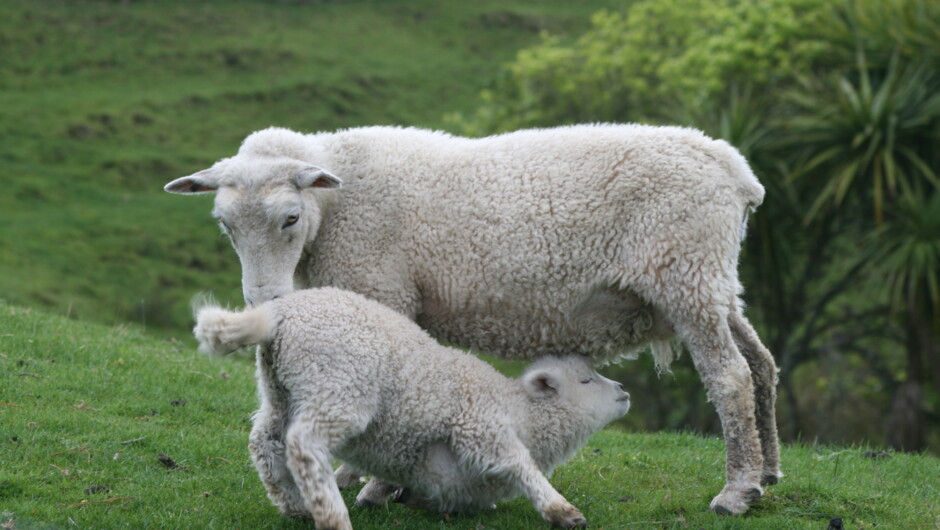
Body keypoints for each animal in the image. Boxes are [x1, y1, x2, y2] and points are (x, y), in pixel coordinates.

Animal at [194, 287, 631, 529]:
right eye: (586, 381)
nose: (625, 391)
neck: (522, 413)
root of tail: (281, 313)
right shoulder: (480, 426)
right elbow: (519, 464)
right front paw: (562, 511)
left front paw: (382, 495)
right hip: (339, 385)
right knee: (303, 444)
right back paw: (332, 516)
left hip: (280, 388)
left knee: (266, 441)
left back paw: (296, 506)